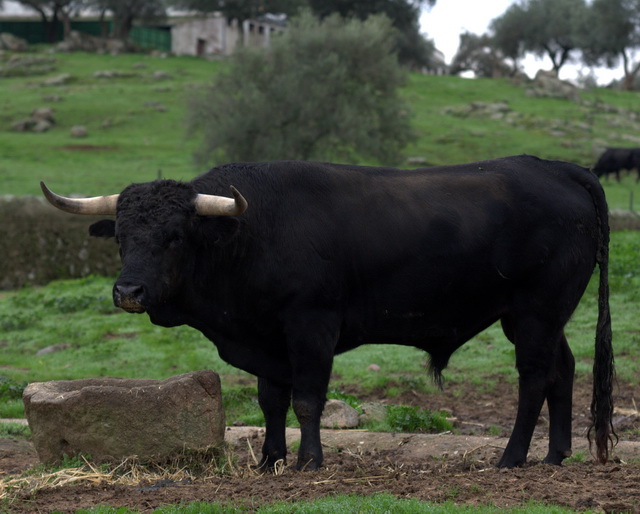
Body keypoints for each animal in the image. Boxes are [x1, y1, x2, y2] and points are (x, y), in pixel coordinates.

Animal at [41, 153, 616, 468]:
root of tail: (556, 168)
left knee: (534, 378)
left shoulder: (310, 326)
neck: (251, 232)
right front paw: (270, 460)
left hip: (536, 310)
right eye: (120, 236)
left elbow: (307, 400)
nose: (128, 291)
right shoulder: (266, 338)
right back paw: (556, 454)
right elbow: (271, 401)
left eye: (175, 236)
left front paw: (307, 461)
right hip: (539, 316)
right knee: (562, 370)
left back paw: (513, 457)